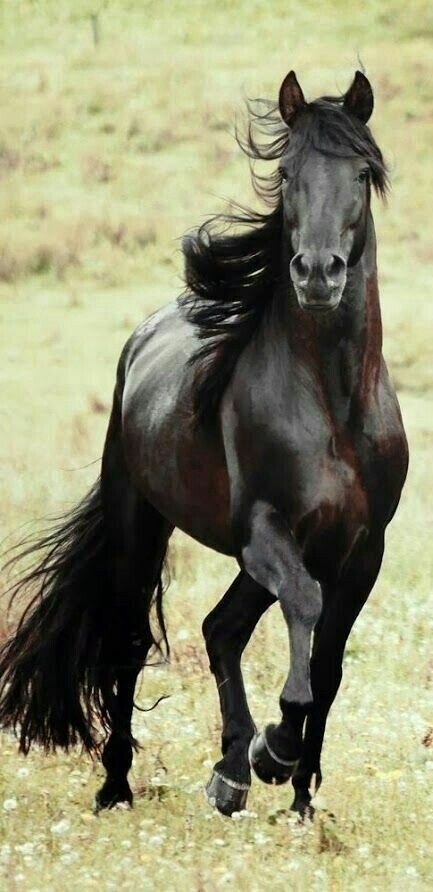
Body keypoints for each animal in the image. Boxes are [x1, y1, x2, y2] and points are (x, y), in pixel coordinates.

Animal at [0, 70, 408, 819]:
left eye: (362, 174)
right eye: (286, 172)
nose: (317, 273)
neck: (333, 405)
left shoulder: (363, 549)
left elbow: (330, 663)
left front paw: (299, 798)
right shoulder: (266, 531)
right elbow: (304, 609)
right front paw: (276, 748)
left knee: (222, 628)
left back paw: (230, 772)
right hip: (142, 523)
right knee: (131, 640)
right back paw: (120, 785)